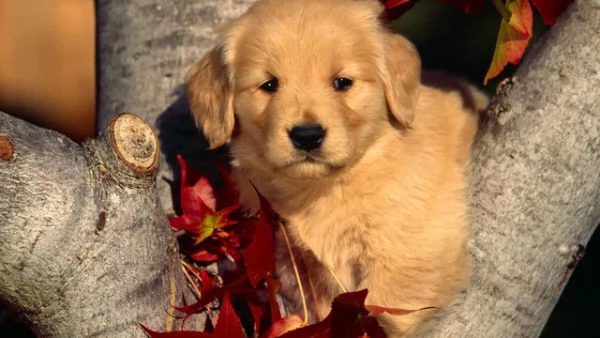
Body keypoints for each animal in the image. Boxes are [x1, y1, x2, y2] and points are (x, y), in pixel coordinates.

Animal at [186, 0, 488, 336]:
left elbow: (382, 312)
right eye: (269, 85)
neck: (327, 186)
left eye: (342, 82)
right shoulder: (295, 264)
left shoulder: (411, 251)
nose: (307, 135)